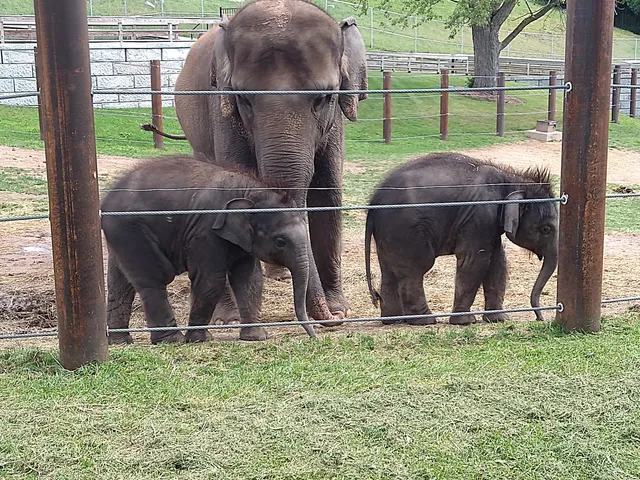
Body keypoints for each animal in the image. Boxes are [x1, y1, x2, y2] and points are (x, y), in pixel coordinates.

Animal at [101, 154, 318, 345]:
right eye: (280, 241)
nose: (314, 336)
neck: (250, 191)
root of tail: (105, 201)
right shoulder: (206, 231)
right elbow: (211, 280)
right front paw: (199, 339)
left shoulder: (242, 241)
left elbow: (249, 279)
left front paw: (256, 337)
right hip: (130, 229)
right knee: (153, 281)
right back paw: (172, 340)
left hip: (120, 234)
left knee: (120, 283)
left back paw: (120, 341)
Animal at [160, 0, 368, 327]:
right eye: (244, 99)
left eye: (323, 98)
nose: (329, 320)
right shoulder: (222, 109)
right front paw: (230, 319)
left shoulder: (335, 124)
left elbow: (327, 195)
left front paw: (339, 310)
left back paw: (280, 275)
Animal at [364, 153, 559, 326]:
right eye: (546, 229)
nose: (540, 318)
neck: (510, 180)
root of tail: (373, 203)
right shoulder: (479, 215)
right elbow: (475, 261)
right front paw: (465, 322)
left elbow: (497, 261)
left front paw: (499, 319)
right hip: (406, 230)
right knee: (415, 270)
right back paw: (425, 321)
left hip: (389, 233)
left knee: (389, 271)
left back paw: (393, 320)